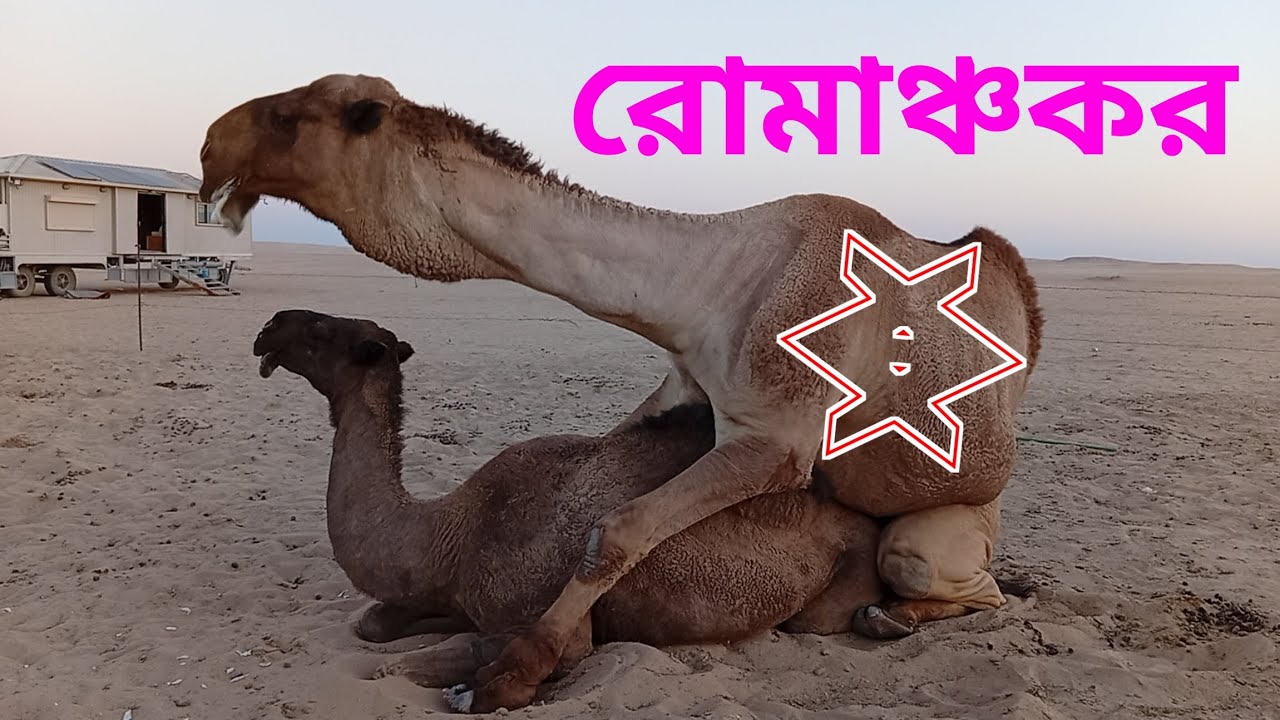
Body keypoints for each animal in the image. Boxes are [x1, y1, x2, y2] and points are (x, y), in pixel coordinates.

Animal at [252, 308, 889, 712]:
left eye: (321, 329)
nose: (269, 326)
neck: (450, 535)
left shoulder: (545, 612)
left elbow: (410, 662)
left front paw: (476, 685)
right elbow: (373, 624)